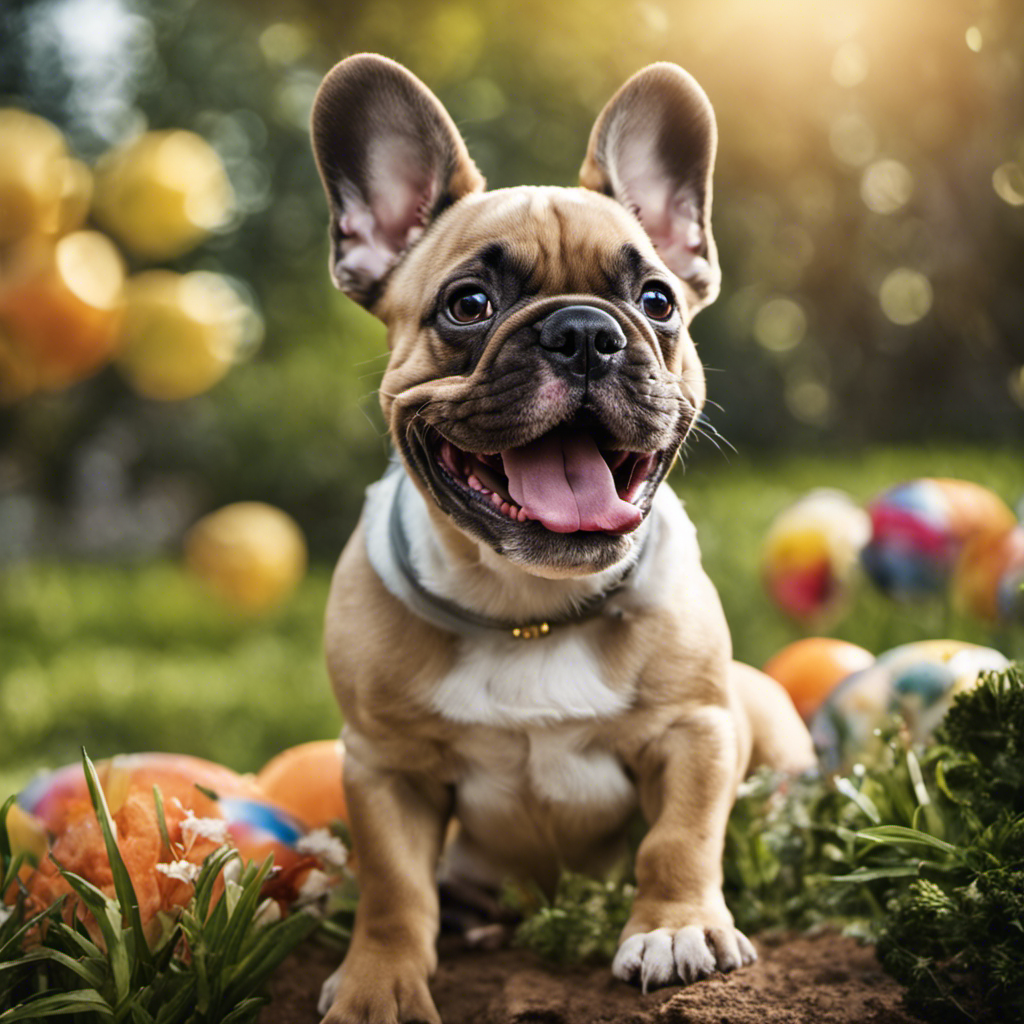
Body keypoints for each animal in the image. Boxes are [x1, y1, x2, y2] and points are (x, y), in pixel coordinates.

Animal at [311, 54, 815, 1024]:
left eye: (656, 300)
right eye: (468, 305)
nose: (584, 332)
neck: (526, 605)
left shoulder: (697, 729)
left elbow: (678, 837)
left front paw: (675, 930)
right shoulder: (382, 765)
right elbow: (394, 886)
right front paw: (378, 980)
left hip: (765, 717)